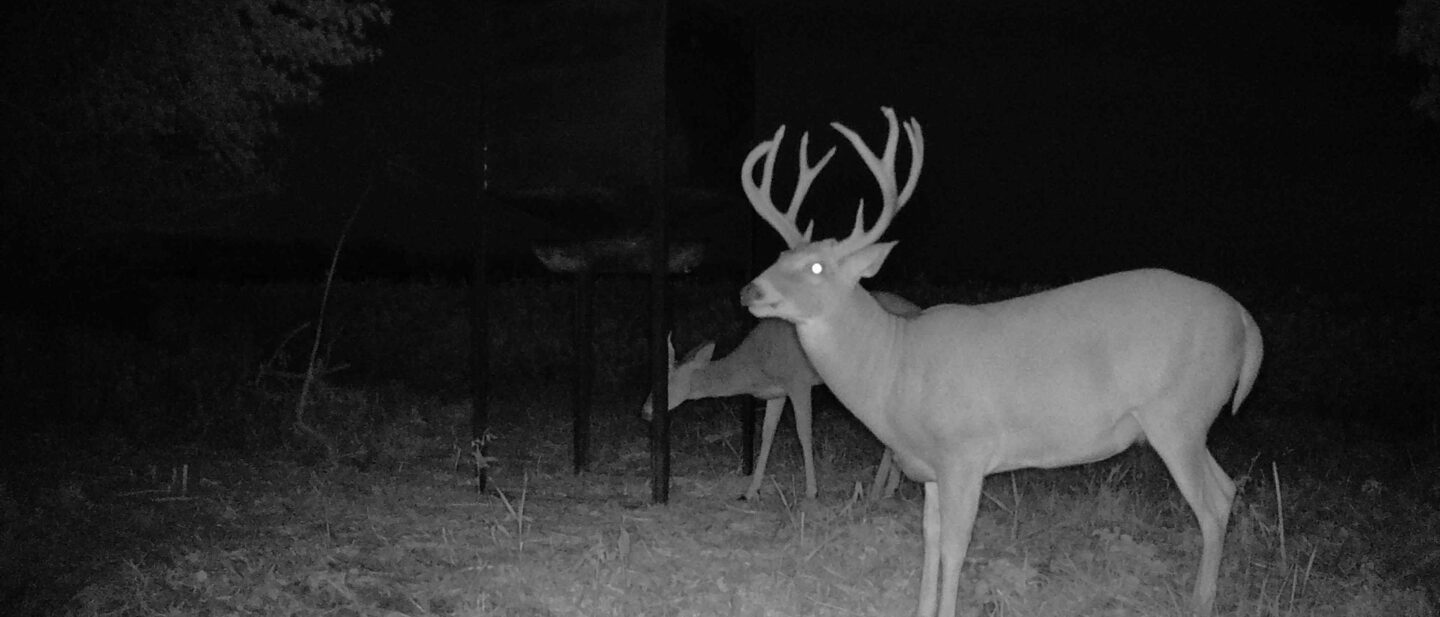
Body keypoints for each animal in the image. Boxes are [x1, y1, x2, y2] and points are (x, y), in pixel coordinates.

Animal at [641, 292, 919, 501]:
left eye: (664, 384)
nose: (645, 411)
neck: (757, 366)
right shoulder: (776, 393)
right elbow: (766, 434)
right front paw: (751, 491)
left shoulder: (798, 381)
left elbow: (803, 431)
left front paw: (811, 491)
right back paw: (887, 488)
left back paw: (879, 489)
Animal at [737, 107, 1263, 617]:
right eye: (780, 255)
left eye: (817, 267)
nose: (750, 291)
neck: (894, 366)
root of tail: (1245, 320)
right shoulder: (930, 466)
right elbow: (929, 541)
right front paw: (922, 609)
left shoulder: (965, 451)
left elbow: (955, 547)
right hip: (1189, 421)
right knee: (1228, 489)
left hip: (1177, 414)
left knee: (1212, 504)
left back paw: (1201, 603)